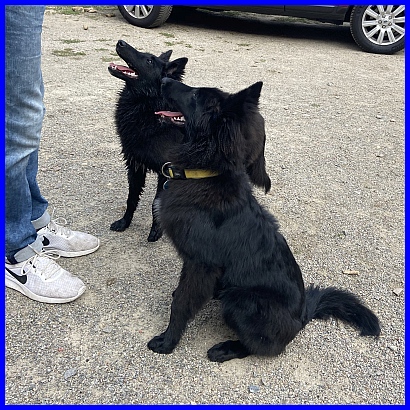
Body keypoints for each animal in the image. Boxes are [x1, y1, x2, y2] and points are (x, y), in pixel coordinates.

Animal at [108, 40, 188, 241]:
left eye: (150, 61)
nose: (120, 42)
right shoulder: (135, 165)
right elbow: (131, 199)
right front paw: (124, 222)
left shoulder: (166, 171)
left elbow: (155, 203)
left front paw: (156, 230)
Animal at [147, 78, 381, 363]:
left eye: (195, 95)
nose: (164, 79)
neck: (206, 173)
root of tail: (302, 316)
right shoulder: (193, 264)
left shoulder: (200, 264)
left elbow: (180, 303)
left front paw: (168, 341)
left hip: (240, 300)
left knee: (263, 347)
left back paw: (227, 348)